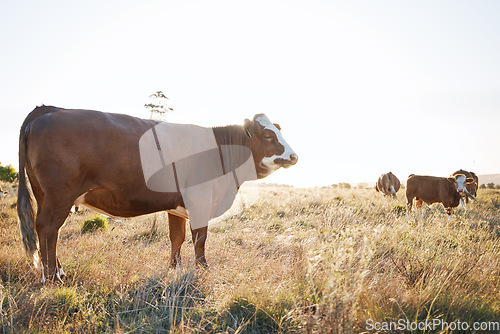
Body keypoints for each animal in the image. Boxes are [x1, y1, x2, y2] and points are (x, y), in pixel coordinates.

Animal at [18, 105, 296, 282]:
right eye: (268, 135)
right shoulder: (199, 199)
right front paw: (203, 270)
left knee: (50, 231)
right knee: (48, 228)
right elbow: (199, 239)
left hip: (45, 196)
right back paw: (51, 277)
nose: (294, 156)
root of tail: (50, 109)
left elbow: (177, 238)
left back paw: (58, 272)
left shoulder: (178, 206)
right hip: (59, 196)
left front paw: (174, 268)